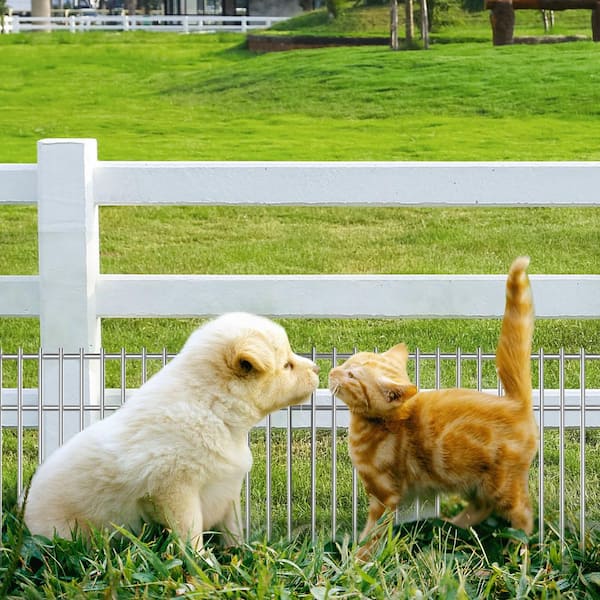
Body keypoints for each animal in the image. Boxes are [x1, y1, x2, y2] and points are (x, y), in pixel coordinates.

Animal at [24, 314, 318, 548]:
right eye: (286, 365)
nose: (317, 368)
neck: (211, 407)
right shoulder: (176, 490)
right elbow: (191, 533)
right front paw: (202, 566)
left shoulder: (228, 489)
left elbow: (232, 528)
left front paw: (240, 553)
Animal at [328, 258, 540, 548]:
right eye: (346, 363)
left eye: (351, 376)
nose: (331, 371)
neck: (380, 423)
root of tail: (515, 403)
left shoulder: (384, 496)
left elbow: (372, 535)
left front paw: (356, 556)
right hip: (471, 479)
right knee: (482, 506)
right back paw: (450, 528)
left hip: (501, 483)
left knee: (524, 516)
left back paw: (518, 550)